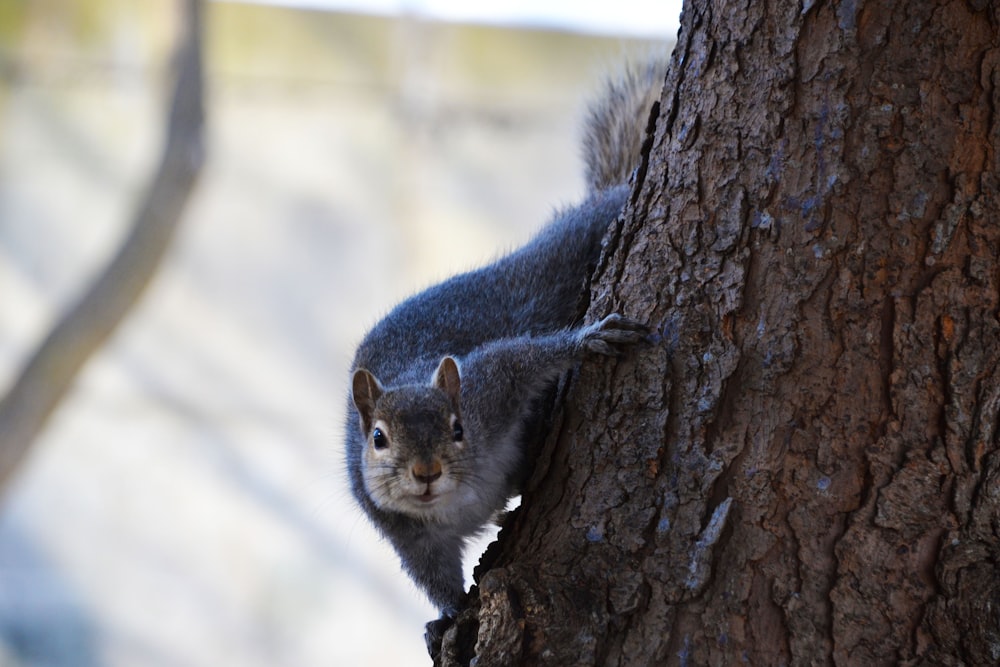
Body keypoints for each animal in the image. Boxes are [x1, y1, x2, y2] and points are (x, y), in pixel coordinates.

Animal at [344, 60, 664, 624]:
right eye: (378, 439)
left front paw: (589, 340)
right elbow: (434, 579)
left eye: (457, 426)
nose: (425, 472)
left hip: (562, 252)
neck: (458, 498)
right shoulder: (409, 539)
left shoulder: (489, 384)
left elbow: (524, 356)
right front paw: (450, 618)